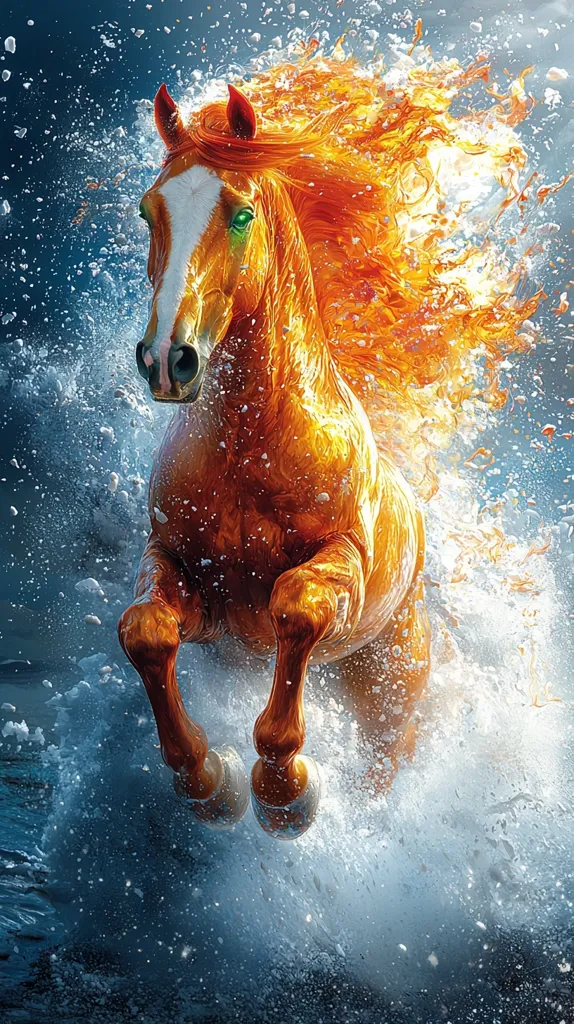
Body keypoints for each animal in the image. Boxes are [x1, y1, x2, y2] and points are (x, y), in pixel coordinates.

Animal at [118, 57, 534, 838]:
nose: (168, 359)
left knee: (384, 762)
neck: (249, 452)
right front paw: (209, 783)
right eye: (149, 212)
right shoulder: (187, 580)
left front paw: (285, 794)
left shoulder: (339, 567)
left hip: (387, 693)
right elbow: (145, 631)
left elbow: (297, 609)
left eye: (240, 213)